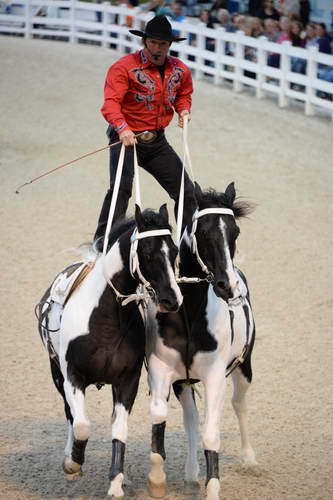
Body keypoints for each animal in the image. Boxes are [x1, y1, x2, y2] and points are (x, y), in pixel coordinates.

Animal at [37, 205, 182, 498]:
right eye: (147, 252)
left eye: (174, 250)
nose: (172, 300)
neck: (105, 319)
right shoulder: (72, 376)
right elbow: (81, 425)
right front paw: (73, 463)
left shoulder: (127, 381)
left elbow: (119, 429)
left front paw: (115, 483)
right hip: (56, 373)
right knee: (70, 415)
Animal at [145, 184, 254, 500]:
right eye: (203, 232)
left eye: (235, 231)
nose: (227, 286)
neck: (190, 314)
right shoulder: (163, 370)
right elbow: (161, 415)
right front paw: (157, 479)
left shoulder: (215, 377)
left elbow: (211, 435)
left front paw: (213, 489)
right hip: (184, 382)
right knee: (191, 419)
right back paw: (192, 475)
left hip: (245, 367)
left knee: (239, 404)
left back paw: (249, 458)